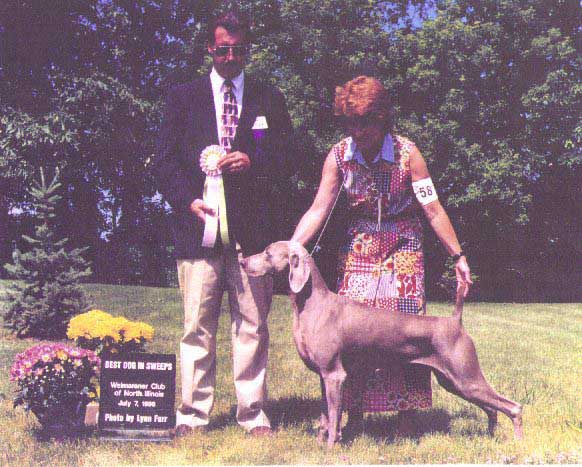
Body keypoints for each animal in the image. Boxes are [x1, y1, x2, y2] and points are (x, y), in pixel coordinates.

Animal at [240, 241, 523, 447]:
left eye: (267, 253)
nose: (242, 261)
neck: (312, 303)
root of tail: (455, 320)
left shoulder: (335, 374)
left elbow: (334, 415)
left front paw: (331, 446)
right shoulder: (323, 376)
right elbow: (324, 415)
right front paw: (320, 443)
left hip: (465, 377)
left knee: (513, 407)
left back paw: (517, 442)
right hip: (454, 381)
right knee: (492, 409)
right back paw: (490, 436)